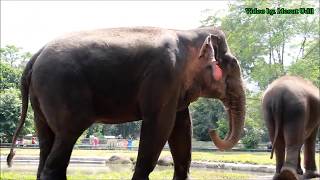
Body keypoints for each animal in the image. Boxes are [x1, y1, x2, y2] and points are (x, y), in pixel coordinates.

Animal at [7, 26, 245, 180]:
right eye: (232, 65)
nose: (213, 130)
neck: (188, 33)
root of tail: (35, 56)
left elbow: (182, 129)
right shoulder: (163, 77)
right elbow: (159, 126)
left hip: (40, 101)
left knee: (47, 142)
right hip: (60, 90)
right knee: (66, 138)